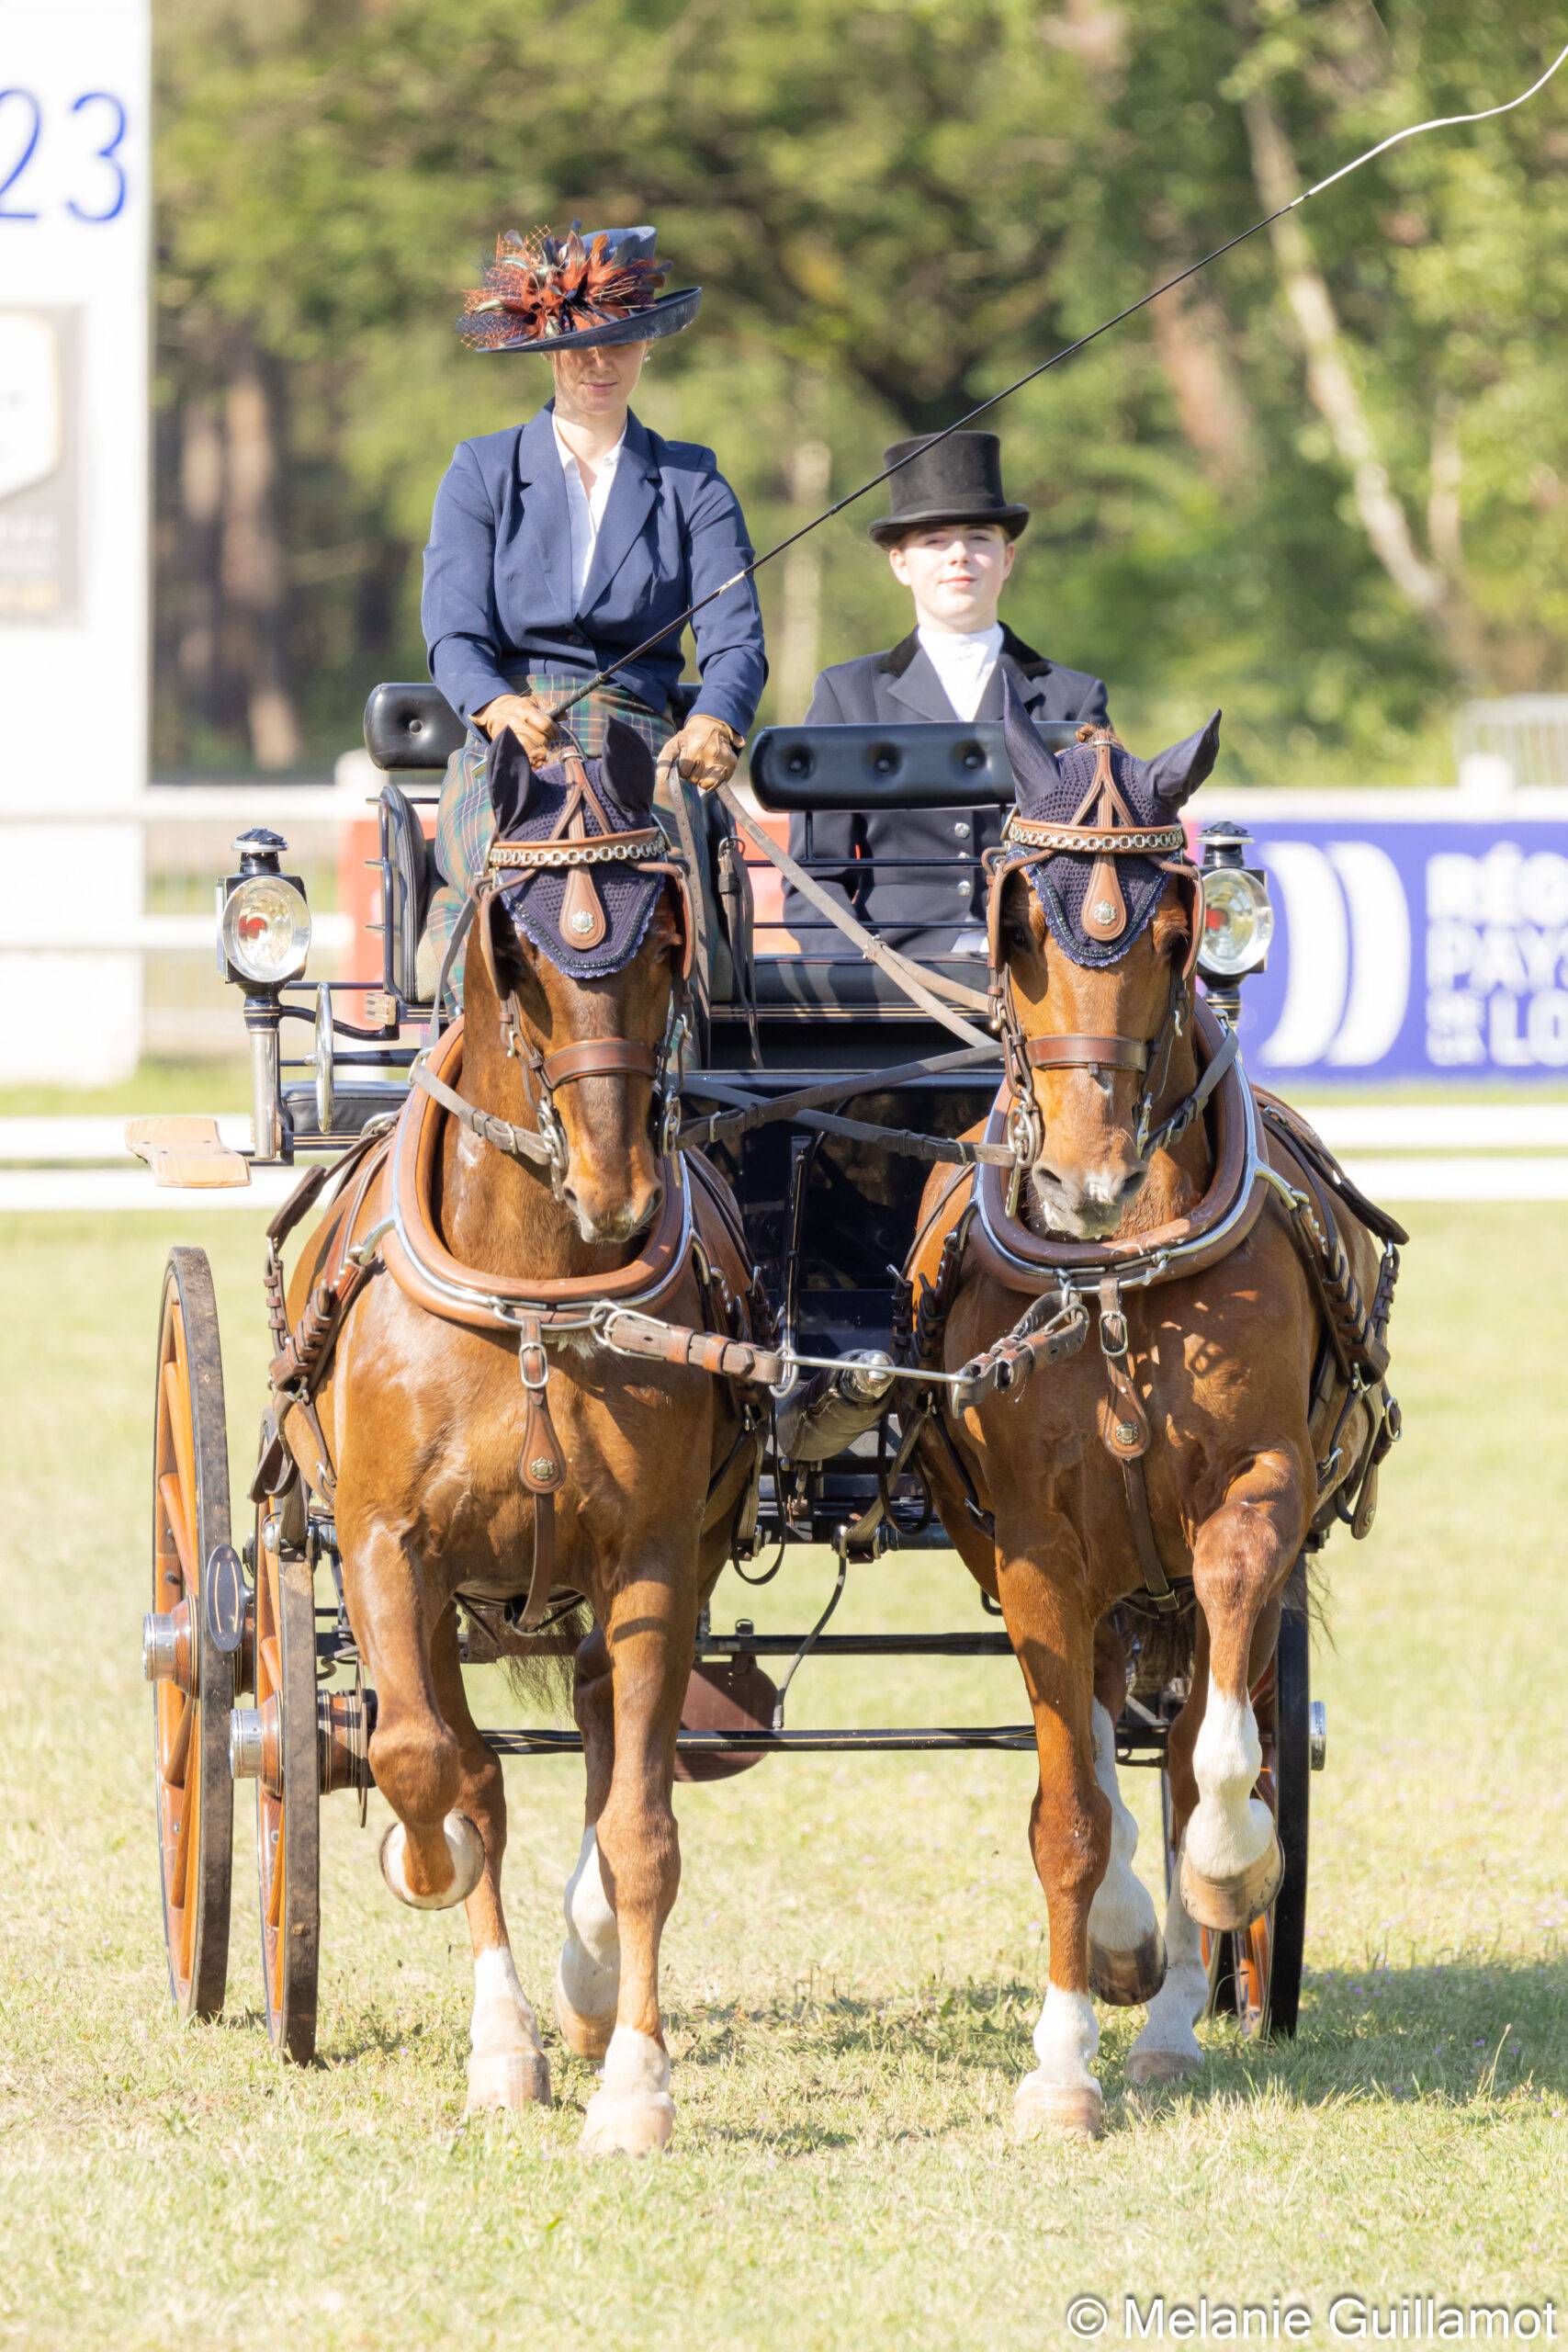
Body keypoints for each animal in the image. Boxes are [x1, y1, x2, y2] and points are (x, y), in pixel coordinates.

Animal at [276, 724, 766, 2154]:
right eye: (520, 956)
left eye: (666, 947)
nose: (618, 1193)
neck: (536, 1286)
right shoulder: (388, 1551)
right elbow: (424, 1763)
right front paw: (417, 1861)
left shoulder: (654, 1562)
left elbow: (643, 1831)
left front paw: (636, 2085)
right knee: (460, 1761)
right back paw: (500, 2035)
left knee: (606, 1741)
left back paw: (588, 1981)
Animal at [907, 686, 1401, 2144]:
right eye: (1014, 924)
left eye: (1183, 928)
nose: (1085, 1179)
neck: (1115, 1279)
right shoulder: (1031, 1543)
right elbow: (1068, 1811)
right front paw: (1065, 2058)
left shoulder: (1251, 1497)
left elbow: (1216, 1768)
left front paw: (1231, 1881)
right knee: (1094, 1737)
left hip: (1176, 1575)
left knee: (1185, 1739)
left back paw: (1183, 2013)